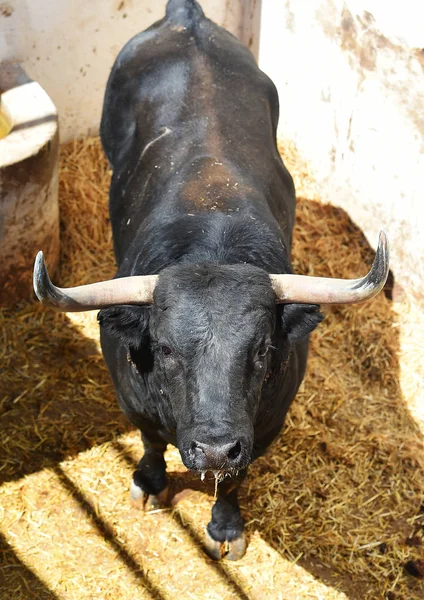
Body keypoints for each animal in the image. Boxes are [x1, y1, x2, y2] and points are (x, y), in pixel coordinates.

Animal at [34, 1, 390, 564]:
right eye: (165, 348)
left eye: (263, 350)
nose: (215, 447)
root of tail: (187, 17)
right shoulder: (133, 401)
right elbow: (151, 441)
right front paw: (149, 483)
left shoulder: (264, 427)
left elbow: (237, 478)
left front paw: (225, 528)